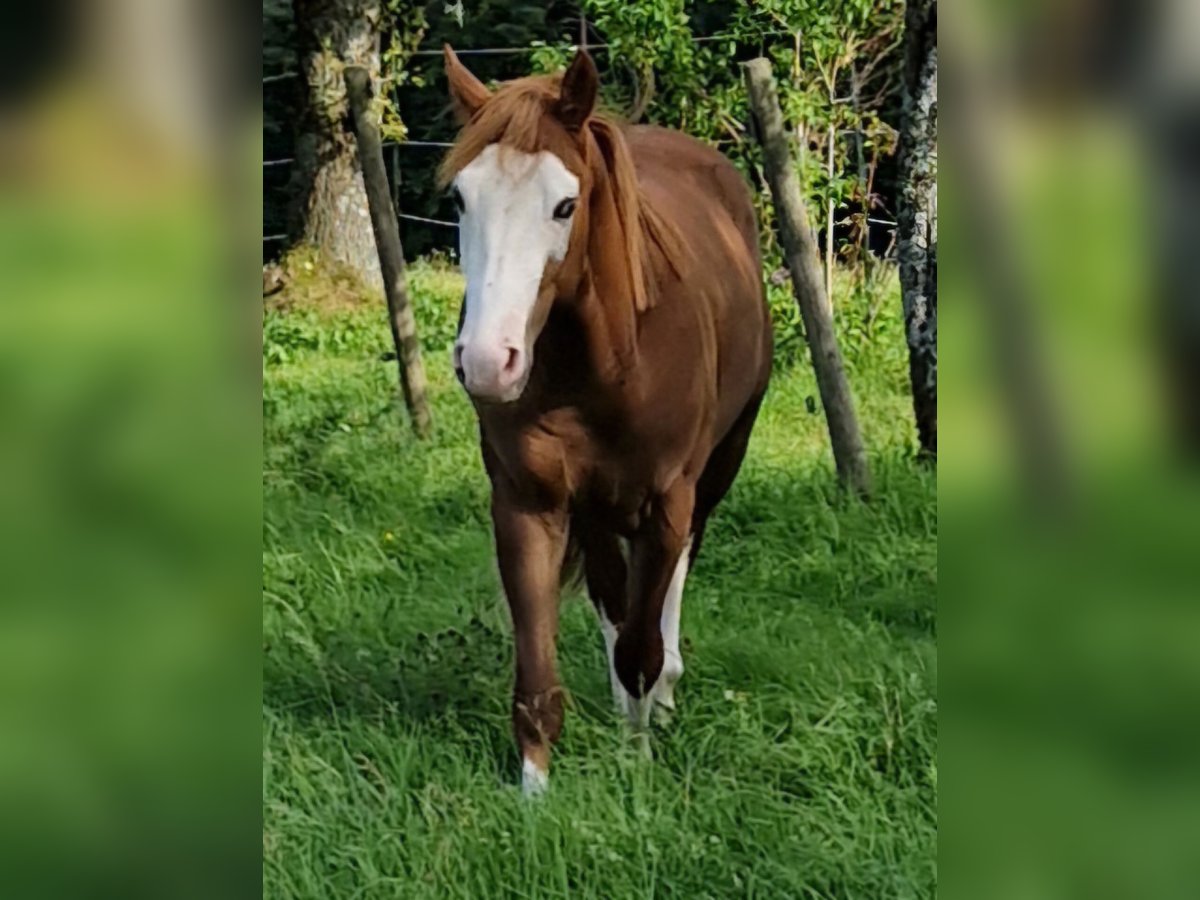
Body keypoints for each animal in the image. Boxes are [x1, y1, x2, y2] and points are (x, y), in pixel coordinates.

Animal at [440, 45, 772, 794]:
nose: (488, 362)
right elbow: (541, 674)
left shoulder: (666, 505)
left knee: (666, 593)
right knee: (611, 599)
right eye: (461, 198)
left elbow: (641, 648)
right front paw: (534, 795)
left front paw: (638, 766)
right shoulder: (527, 503)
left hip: (713, 477)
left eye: (565, 205)